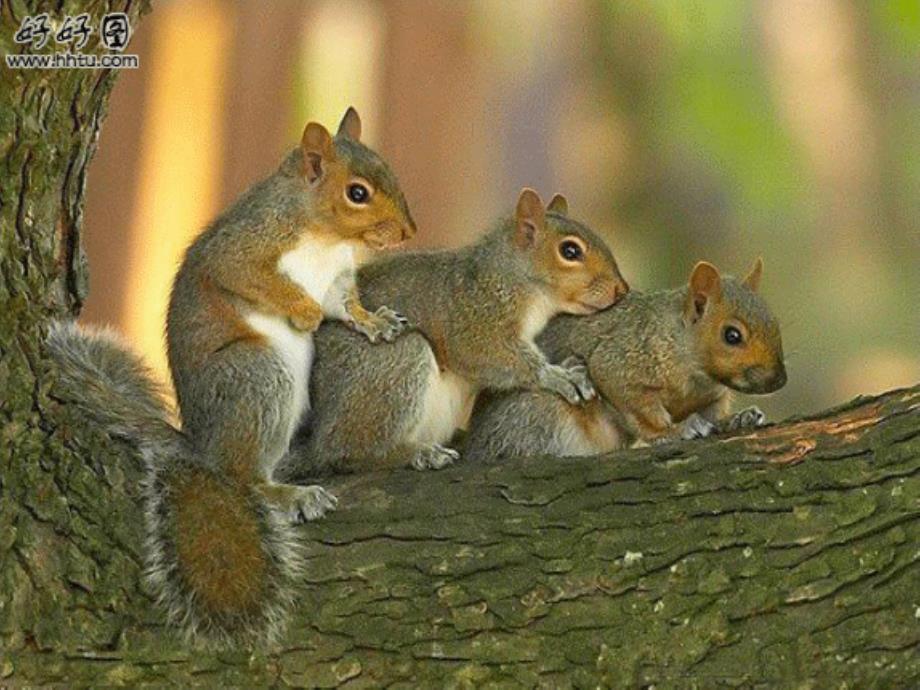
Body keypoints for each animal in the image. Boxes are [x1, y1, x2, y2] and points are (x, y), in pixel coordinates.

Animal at [46, 107, 414, 644]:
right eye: (358, 193)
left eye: (389, 169)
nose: (409, 232)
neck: (326, 238)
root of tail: (203, 448)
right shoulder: (245, 247)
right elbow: (251, 278)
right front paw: (304, 313)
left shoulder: (337, 279)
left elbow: (345, 305)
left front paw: (374, 322)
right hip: (256, 376)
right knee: (242, 478)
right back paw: (282, 493)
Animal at [276, 188, 628, 478]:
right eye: (570, 251)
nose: (620, 289)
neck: (514, 278)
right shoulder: (473, 318)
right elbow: (493, 355)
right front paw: (557, 375)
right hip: (392, 363)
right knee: (344, 451)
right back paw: (415, 454)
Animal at [464, 255, 788, 460]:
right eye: (732, 335)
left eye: (774, 321)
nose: (780, 380)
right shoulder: (622, 363)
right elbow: (643, 412)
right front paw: (675, 430)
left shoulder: (712, 395)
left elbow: (714, 414)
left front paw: (737, 419)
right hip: (538, 413)